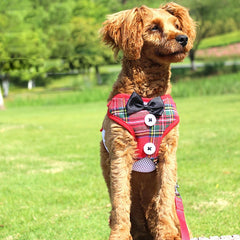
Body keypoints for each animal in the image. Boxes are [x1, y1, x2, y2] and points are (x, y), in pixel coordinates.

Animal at [99, 2, 195, 240]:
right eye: (154, 27)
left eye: (177, 25)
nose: (183, 38)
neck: (146, 99)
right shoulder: (120, 152)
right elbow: (121, 200)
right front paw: (120, 235)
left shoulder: (168, 153)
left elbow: (165, 196)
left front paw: (167, 233)